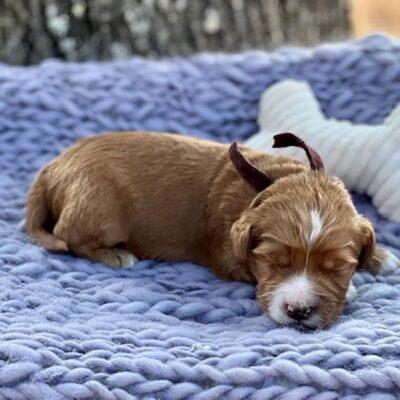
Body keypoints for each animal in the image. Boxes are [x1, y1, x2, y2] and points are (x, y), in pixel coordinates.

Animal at [25, 131, 394, 328]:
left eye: (336, 268)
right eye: (274, 263)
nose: (299, 311)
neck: (271, 179)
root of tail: (53, 167)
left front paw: (381, 256)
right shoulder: (226, 256)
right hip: (97, 208)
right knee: (70, 236)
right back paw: (117, 255)